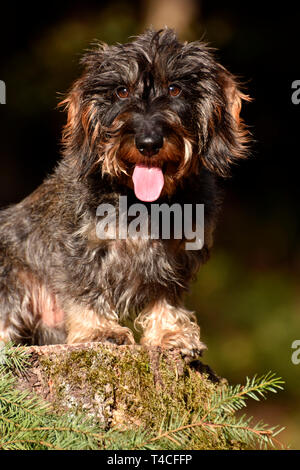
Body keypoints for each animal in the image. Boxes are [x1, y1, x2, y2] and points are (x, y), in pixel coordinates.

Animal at [0, 28, 250, 360]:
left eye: (175, 89)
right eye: (121, 91)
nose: (148, 143)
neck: (144, 204)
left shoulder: (174, 259)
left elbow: (165, 295)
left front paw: (170, 334)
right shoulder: (80, 248)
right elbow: (85, 289)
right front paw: (99, 330)